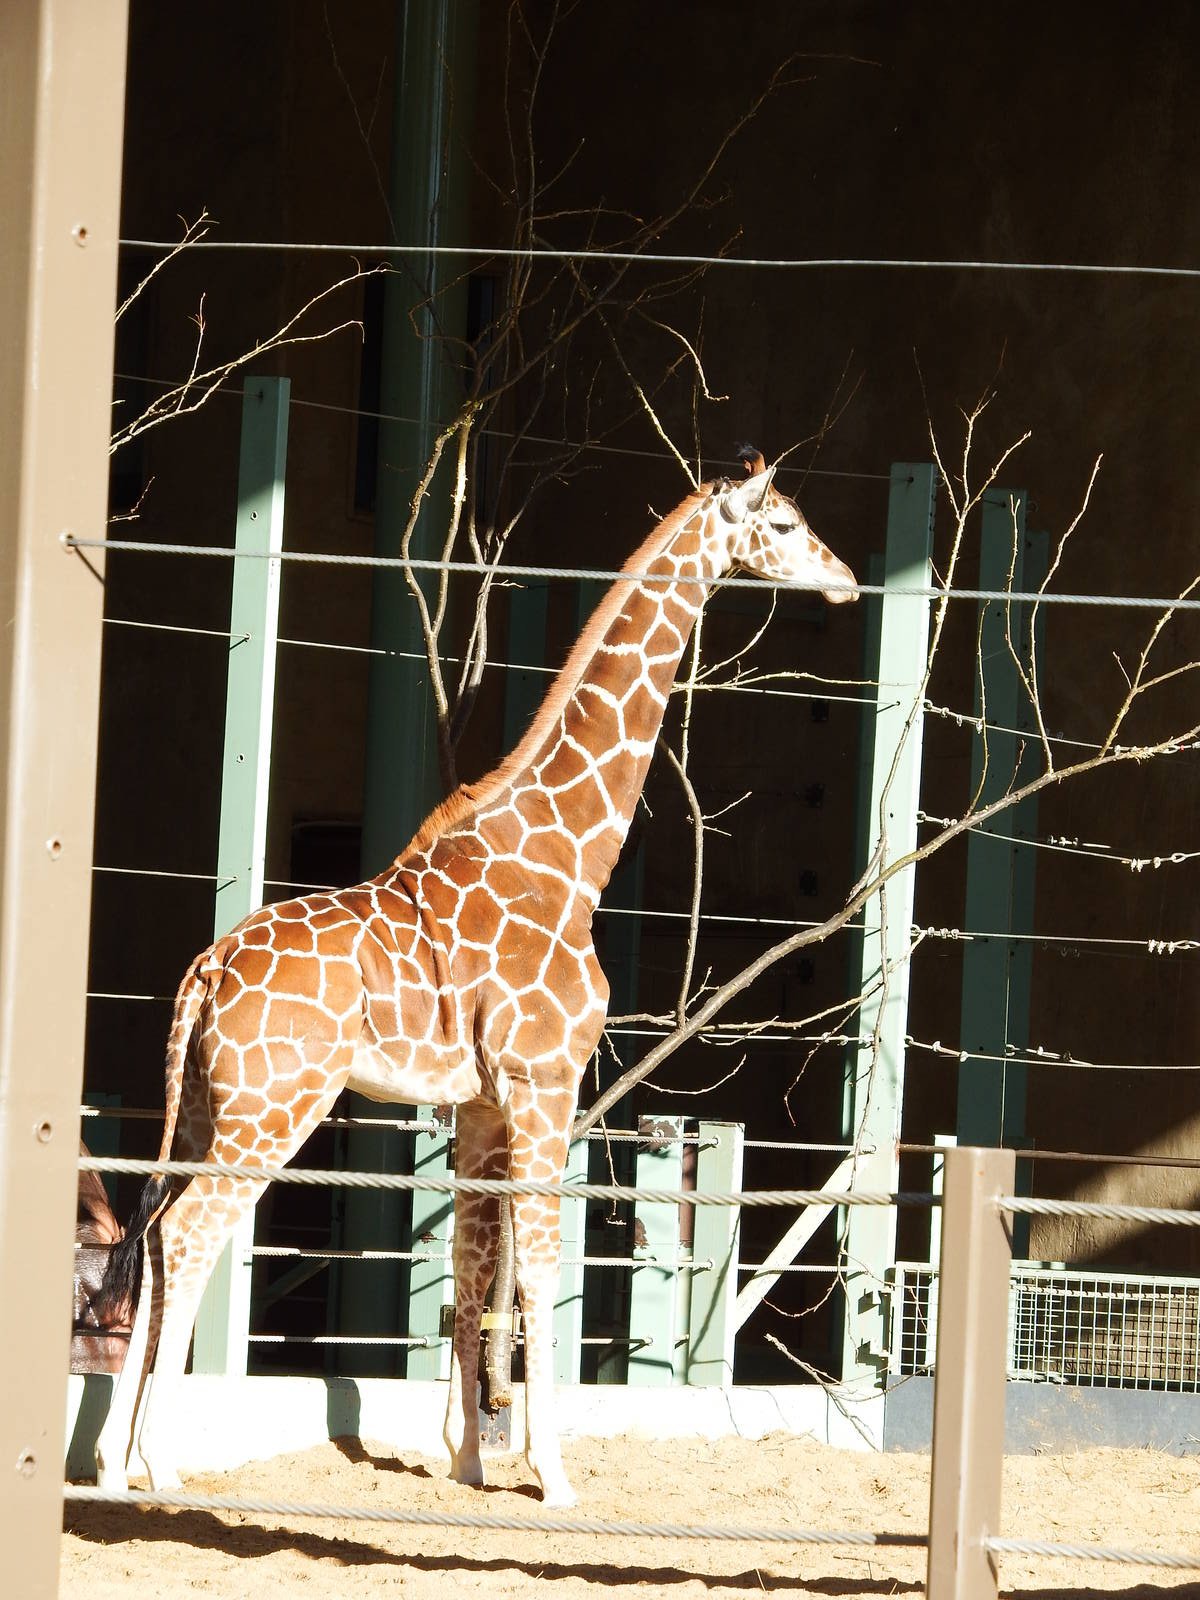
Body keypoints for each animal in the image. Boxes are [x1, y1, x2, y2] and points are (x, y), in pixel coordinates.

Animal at [94, 448, 857, 1506]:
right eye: (782, 524)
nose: (848, 579)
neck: (567, 858)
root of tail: (205, 969)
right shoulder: (545, 1083)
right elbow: (537, 1270)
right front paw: (553, 1476)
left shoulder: (482, 1103)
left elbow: (468, 1265)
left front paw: (466, 1463)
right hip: (276, 1107)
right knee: (190, 1233)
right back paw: (159, 1463)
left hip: (207, 1105)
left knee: (157, 1231)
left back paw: (107, 1463)